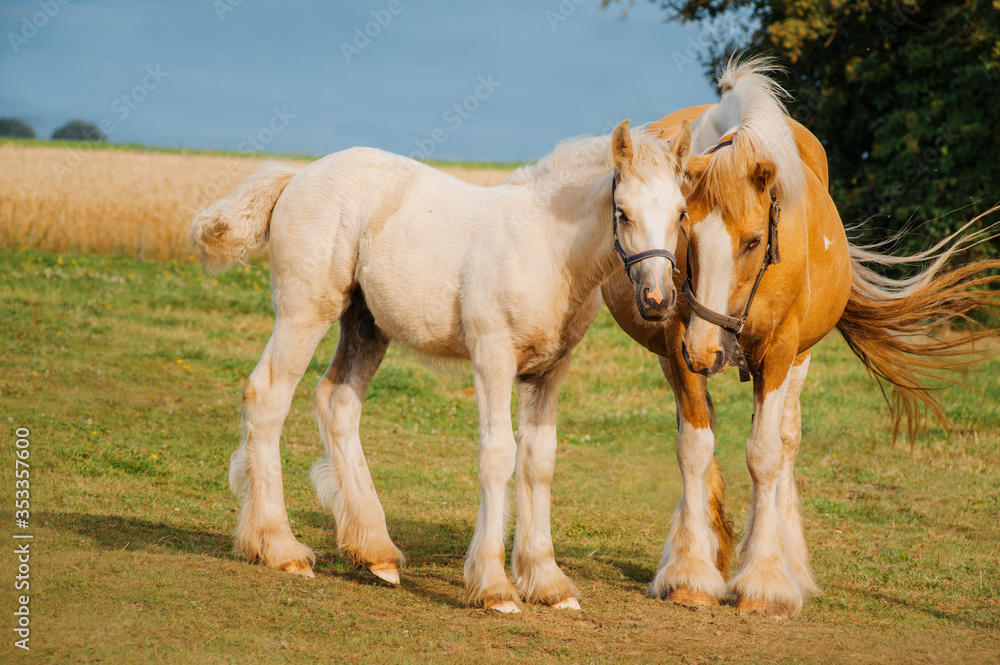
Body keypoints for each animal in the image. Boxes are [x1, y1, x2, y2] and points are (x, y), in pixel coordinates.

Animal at [190, 119, 693, 612]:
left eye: (681, 213)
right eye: (622, 212)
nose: (657, 299)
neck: (549, 248)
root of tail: (298, 176)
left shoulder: (550, 370)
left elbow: (539, 461)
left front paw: (547, 581)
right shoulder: (492, 355)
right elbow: (498, 455)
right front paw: (494, 587)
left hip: (366, 325)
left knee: (336, 402)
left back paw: (375, 552)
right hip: (305, 312)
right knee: (267, 396)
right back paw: (279, 547)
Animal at [602, 58, 1000, 619]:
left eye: (753, 242)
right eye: (686, 228)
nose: (707, 347)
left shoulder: (779, 350)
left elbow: (766, 454)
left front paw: (765, 582)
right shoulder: (678, 346)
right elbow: (694, 447)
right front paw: (692, 574)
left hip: (799, 357)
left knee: (786, 440)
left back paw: (784, 561)